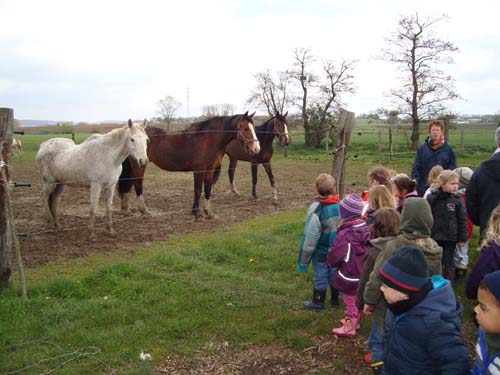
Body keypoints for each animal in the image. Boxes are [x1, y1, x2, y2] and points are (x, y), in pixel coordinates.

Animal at [116, 111, 258, 220]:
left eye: (253, 128)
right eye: (245, 128)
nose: (257, 148)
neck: (208, 139)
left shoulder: (210, 169)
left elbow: (207, 189)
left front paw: (209, 213)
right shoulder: (199, 169)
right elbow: (198, 189)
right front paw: (197, 213)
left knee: (129, 183)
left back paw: (126, 209)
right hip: (139, 165)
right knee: (137, 183)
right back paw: (144, 210)